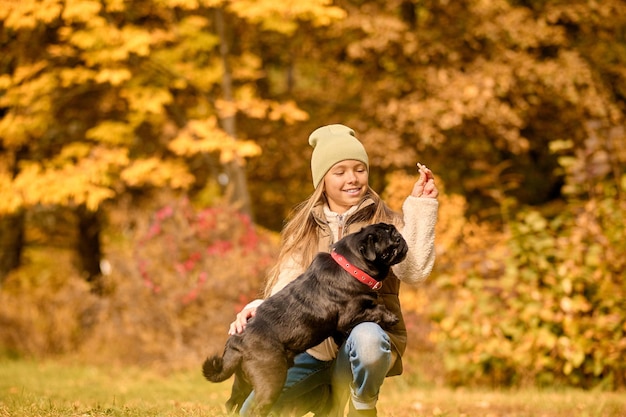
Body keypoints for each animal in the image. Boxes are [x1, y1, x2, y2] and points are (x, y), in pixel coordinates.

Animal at [199, 223, 404, 414]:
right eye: (390, 235)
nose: (397, 231)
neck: (352, 267)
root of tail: (238, 342)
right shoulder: (350, 315)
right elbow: (376, 309)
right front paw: (390, 317)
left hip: (242, 381)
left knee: (232, 403)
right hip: (271, 381)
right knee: (254, 408)